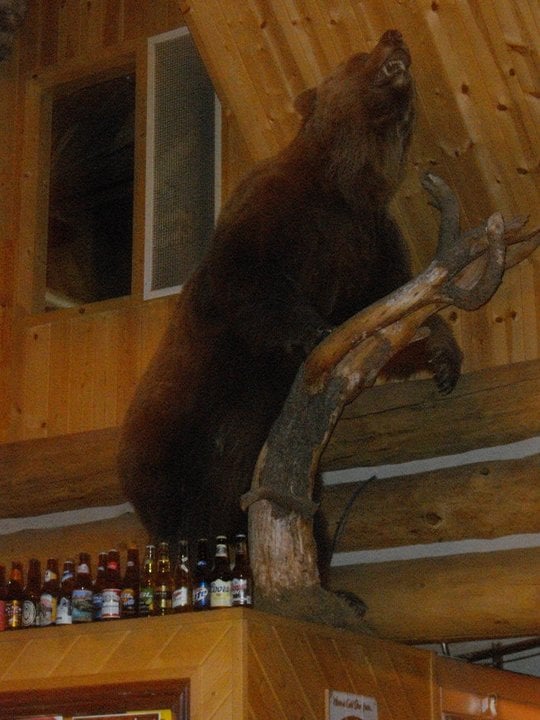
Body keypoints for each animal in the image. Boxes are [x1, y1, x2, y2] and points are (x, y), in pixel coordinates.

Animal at [118, 29, 462, 559]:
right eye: (355, 55)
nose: (393, 35)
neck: (349, 180)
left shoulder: (369, 240)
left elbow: (383, 310)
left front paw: (442, 355)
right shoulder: (281, 210)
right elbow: (249, 276)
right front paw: (314, 332)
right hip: (174, 425)